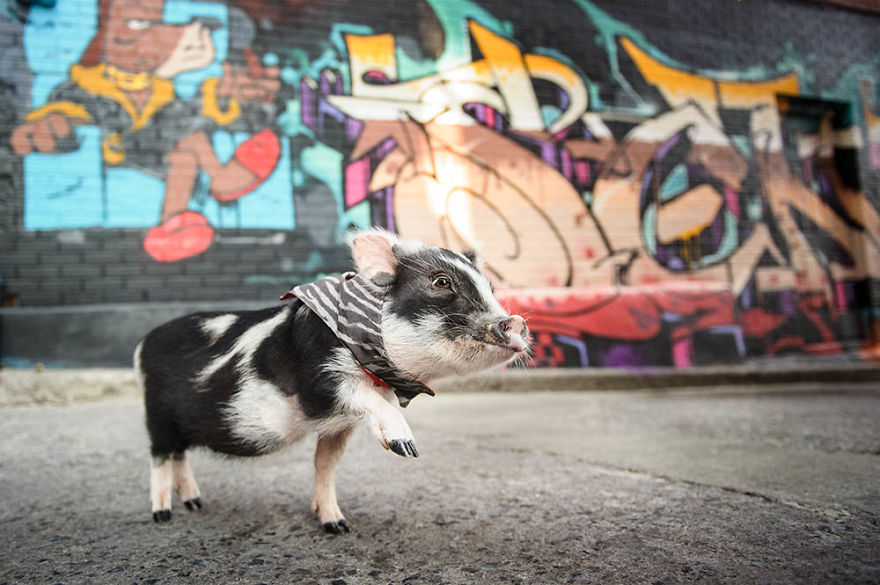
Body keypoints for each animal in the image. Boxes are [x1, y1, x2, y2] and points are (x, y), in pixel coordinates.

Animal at [135, 228, 530, 533]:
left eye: (490, 288)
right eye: (442, 282)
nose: (516, 322)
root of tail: (144, 342)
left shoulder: (339, 424)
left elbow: (325, 465)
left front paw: (337, 525)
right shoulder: (320, 380)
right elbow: (367, 402)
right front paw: (406, 448)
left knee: (179, 455)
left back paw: (195, 504)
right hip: (156, 414)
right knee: (159, 456)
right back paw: (162, 515)